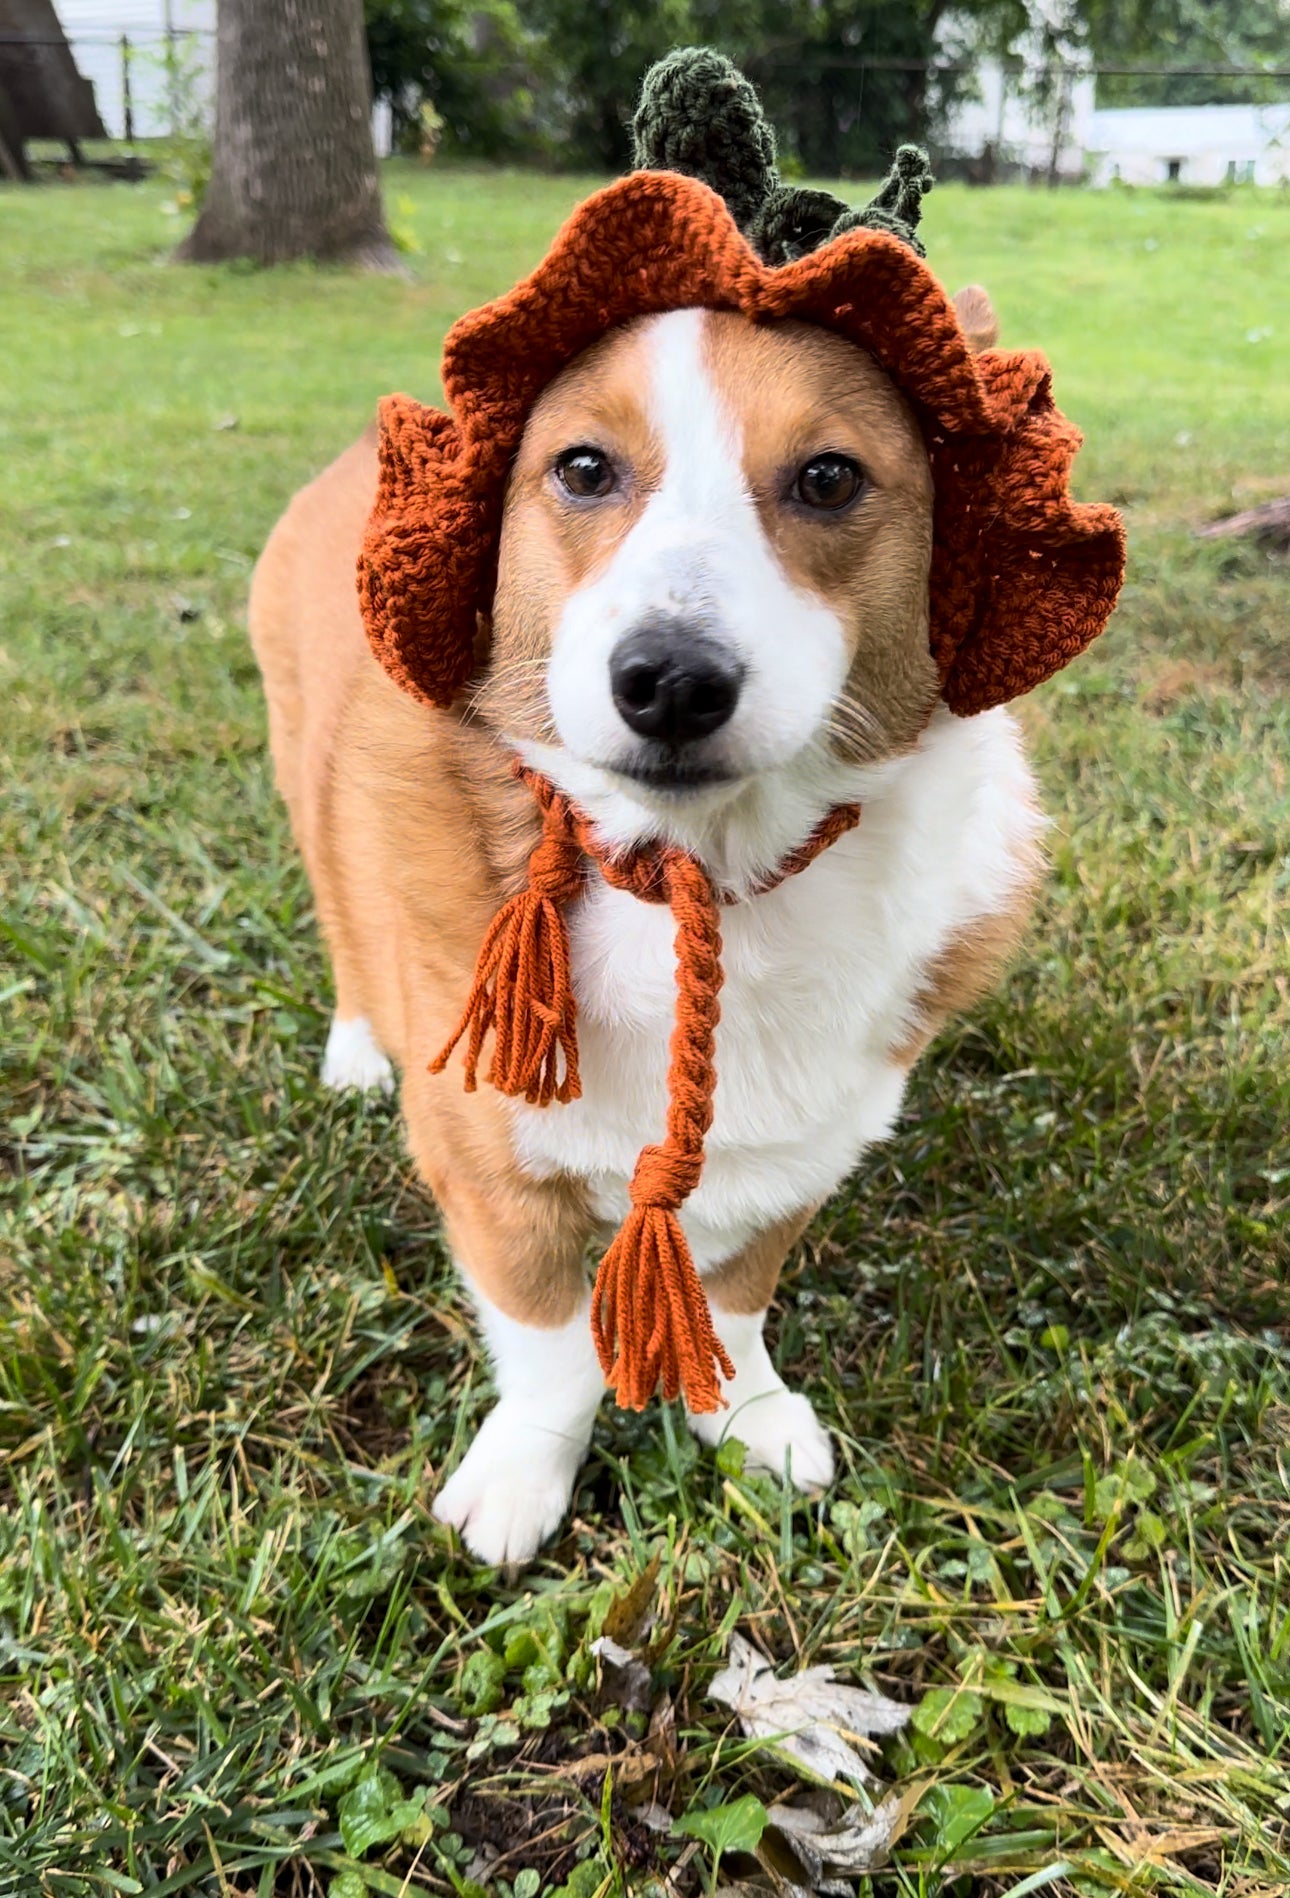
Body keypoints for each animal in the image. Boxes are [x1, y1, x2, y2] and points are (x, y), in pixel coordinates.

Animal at [248, 288, 1039, 1556]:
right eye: (582, 467)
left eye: (829, 477)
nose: (670, 680)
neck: (691, 872)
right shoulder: (488, 1169)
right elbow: (553, 1351)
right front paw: (520, 1481)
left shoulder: (795, 1156)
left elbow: (736, 1300)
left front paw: (751, 1416)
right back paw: (356, 1048)